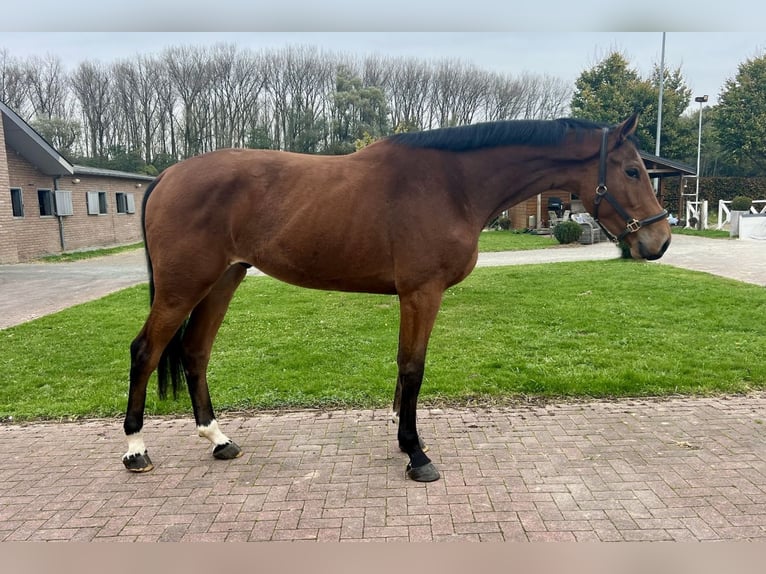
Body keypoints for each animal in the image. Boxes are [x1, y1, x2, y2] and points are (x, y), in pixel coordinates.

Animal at [123, 112, 668, 482]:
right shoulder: (421, 293)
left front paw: (406, 439)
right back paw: (135, 449)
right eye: (633, 171)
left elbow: (405, 368)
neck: (452, 185)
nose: (658, 241)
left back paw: (218, 440)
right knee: (146, 351)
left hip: (223, 280)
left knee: (195, 352)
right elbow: (413, 368)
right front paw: (416, 454)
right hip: (182, 287)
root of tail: (167, 176)